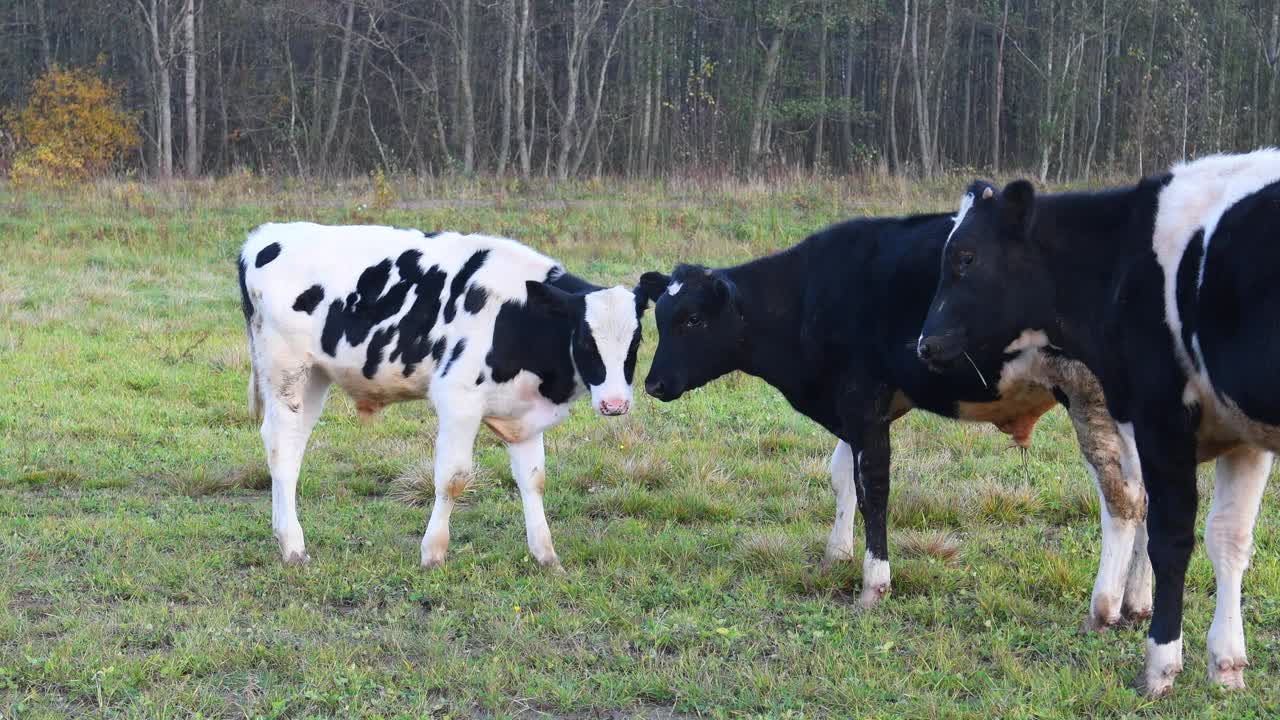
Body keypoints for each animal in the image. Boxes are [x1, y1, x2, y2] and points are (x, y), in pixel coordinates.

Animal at [239, 221, 645, 568]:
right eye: (585, 339)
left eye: (637, 341)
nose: (615, 403)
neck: (515, 316)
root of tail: (264, 236)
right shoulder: (458, 401)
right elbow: (453, 478)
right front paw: (433, 552)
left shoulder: (524, 415)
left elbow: (534, 480)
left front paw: (546, 555)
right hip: (288, 371)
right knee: (282, 446)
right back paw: (292, 546)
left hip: (315, 377)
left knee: (292, 446)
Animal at [640, 208, 1152, 622]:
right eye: (659, 317)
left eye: (692, 319)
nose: (653, 384)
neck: (809, 295)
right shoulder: (856, 407)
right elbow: (842, 476)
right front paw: (836, 554)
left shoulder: (863, 402)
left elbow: (874, 489)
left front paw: (874, 584)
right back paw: (1139, 603)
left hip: (1089, 396)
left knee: (1122, 498)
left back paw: (1106, 604)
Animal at [921, 151, 1280, 696]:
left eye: (965, 256)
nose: (925, 343)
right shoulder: (1242, 435)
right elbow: (1229, 537)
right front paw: (1226, 665)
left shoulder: (1158, 418)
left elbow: (1170, 537)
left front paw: (1160, 664)